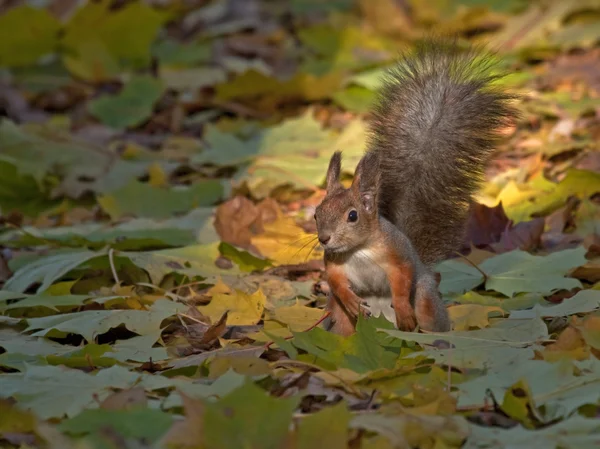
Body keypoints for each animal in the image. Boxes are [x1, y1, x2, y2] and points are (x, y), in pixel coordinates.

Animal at [314, 38, 516, 334]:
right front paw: (350, 299)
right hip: (338, 317)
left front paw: (403, 309)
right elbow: (337, 283)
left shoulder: (399, 254)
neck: (359, 250)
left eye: (352, 215)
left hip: (426, 298)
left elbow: (402, 279)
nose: (324, 239)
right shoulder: (334, 265)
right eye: (316, 214)